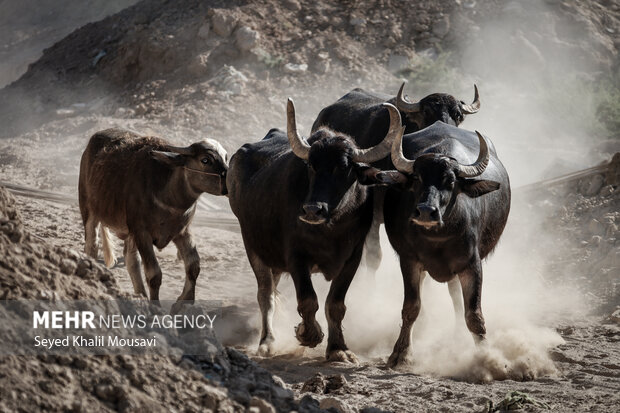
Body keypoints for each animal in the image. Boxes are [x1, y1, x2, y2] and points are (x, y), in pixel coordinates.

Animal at [78, 128, 229, 306]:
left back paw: (140, 296)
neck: (168, 195)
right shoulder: (142, 233)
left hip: (130, 232)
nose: (229, 179)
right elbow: (154, 274)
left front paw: (184, 303)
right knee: (92, 246)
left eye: (226, 157)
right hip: (89, 212)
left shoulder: (182, 231)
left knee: (131, 259)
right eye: (205, 160)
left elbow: (193, 266)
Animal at [226, 100, 402, 360]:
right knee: (265, 295)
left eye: (344, 167)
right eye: (311, 165)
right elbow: (308, 299)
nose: (311, 210)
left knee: (273, 291)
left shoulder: (352, 257)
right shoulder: (296, 257)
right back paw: (267, 341)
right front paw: (308, 333)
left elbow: (335, 304)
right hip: (253, 246)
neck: (330, 231)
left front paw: (338, 349)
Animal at [376, 121, 512, 366]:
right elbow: (411, 307)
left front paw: (487, 357)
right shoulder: (409, 261)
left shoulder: (472, 264)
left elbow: (473, 314)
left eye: (450, 181)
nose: (425, 211)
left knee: (457, 299)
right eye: (417, 178)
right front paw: (401, 353)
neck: (436, 239)